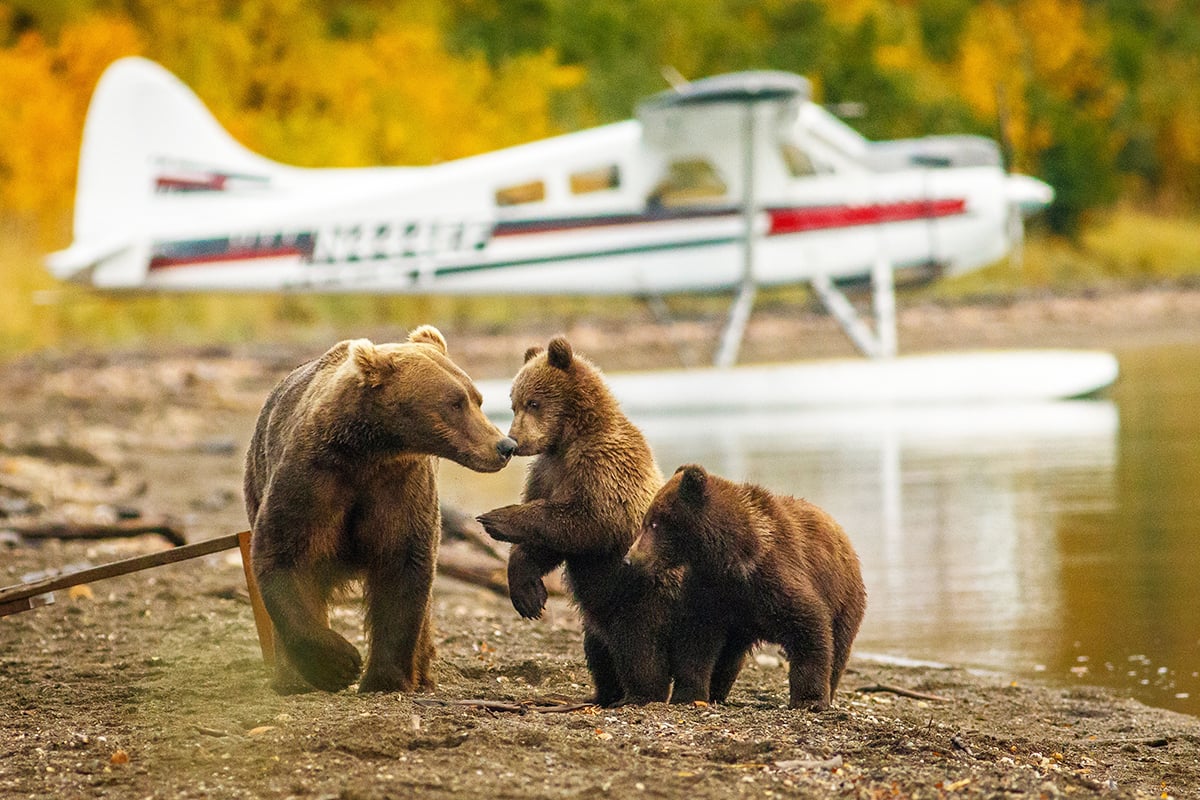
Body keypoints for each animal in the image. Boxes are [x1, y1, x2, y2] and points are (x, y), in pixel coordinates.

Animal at [243, 326, 516, 695]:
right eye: (455, 402)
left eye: (477, 398)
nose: (505, 446)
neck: (371, 452)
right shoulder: (312, 480)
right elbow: (282, 555)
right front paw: (338, 663)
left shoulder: (400, 488)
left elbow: (402, 567)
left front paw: (384, 678)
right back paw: (291, 677)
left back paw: (423, 675)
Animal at [480, 338, 686, 705]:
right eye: (513, 402)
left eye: (533, 402)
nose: (515, 442)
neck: (566, 441)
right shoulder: (547, 472)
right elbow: (550, 545)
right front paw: (529, 594)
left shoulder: (603, 468)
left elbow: (588, 522)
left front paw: (497, 519)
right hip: (599, 618)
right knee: (598, 650)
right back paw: (601, 694)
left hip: (641, 599)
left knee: (640, 651)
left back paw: (638, 695)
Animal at [633, 465, 868, 710]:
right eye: (646, 521)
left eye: (654, 523)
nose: (631, 558)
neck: (729, 557)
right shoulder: (711, 590)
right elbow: (696, 640)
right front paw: (689, 694)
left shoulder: (773, 575)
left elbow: (808, 625)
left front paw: (809, 699)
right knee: (730, 654)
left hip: (845, 599)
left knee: (839, 645)